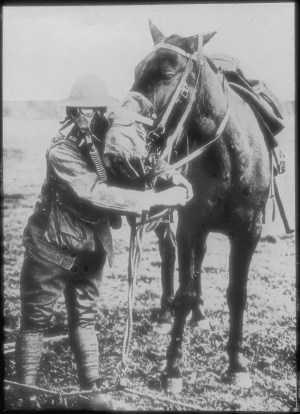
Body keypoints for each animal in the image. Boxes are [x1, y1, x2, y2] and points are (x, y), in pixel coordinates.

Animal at [103, 21, 272, 392]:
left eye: (166, 73)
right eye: (137, 70)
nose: (119, 146)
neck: (230, 159)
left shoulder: (249, 232)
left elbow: (237, 293)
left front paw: (237, 364)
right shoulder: (189, 227)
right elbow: (183, 290)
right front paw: (173, 369)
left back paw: (201, 315)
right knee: (170, 258)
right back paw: (166, 314)